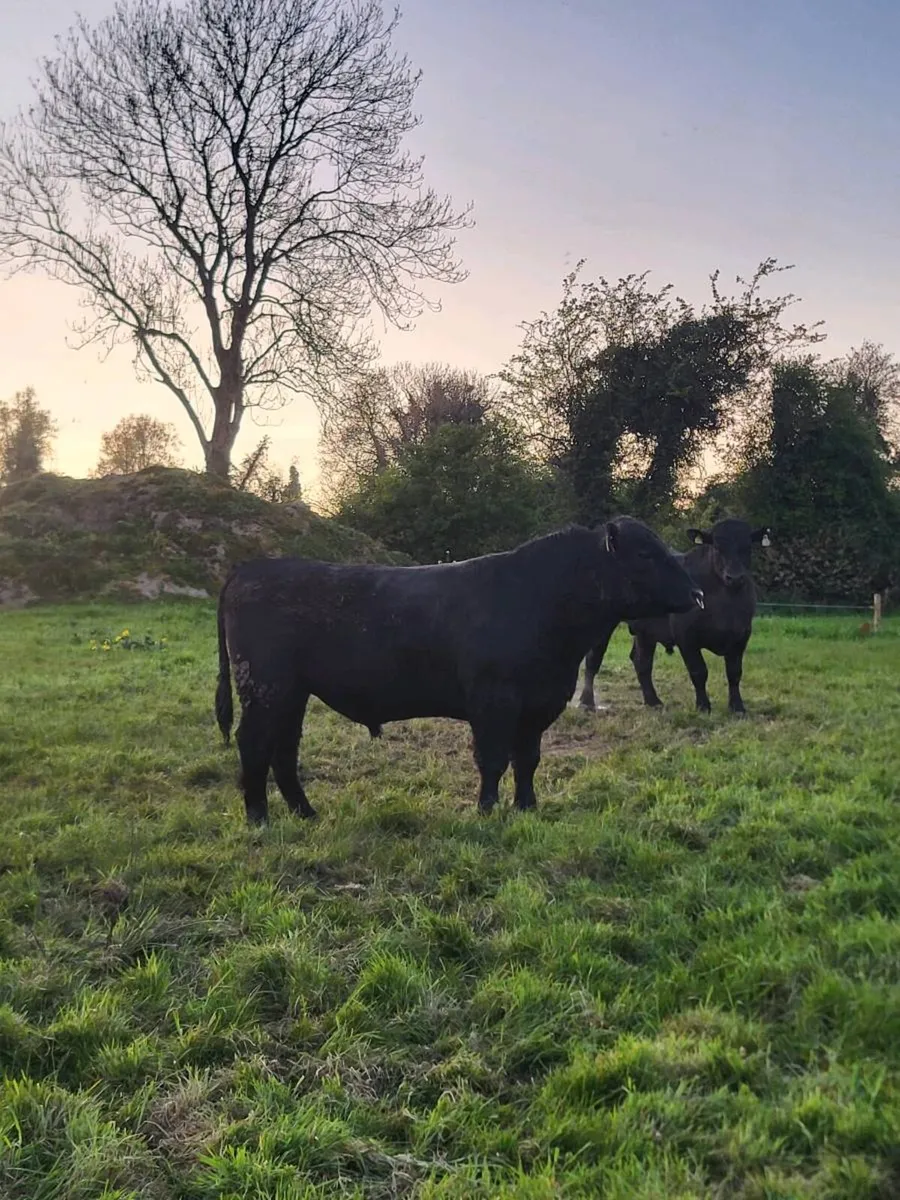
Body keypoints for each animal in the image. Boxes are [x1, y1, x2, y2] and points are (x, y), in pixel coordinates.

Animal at [215, 518, 704, 825]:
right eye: (646, 553)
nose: (698, 593)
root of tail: (252, 569)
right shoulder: (494, 700)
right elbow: (493, 760)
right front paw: (486, 812)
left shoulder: (540, 703)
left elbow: (527, 760)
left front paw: (527, 808)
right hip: (266, 687)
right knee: (254, 743)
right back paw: (258, 818)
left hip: (291, 694)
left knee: (283, 750)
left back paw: (305, 813)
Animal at [578, 518, 771, 715]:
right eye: (717, 547)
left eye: (747, 546)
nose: (735, 577)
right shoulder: (686, 636)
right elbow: (699, 671)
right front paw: (703, 706)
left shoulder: (741, 636)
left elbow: (734, 673)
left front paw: (737, 706)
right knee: (593, 660)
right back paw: (587, 702)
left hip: (646, 631)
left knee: (641, 662)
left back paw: (653, 701)